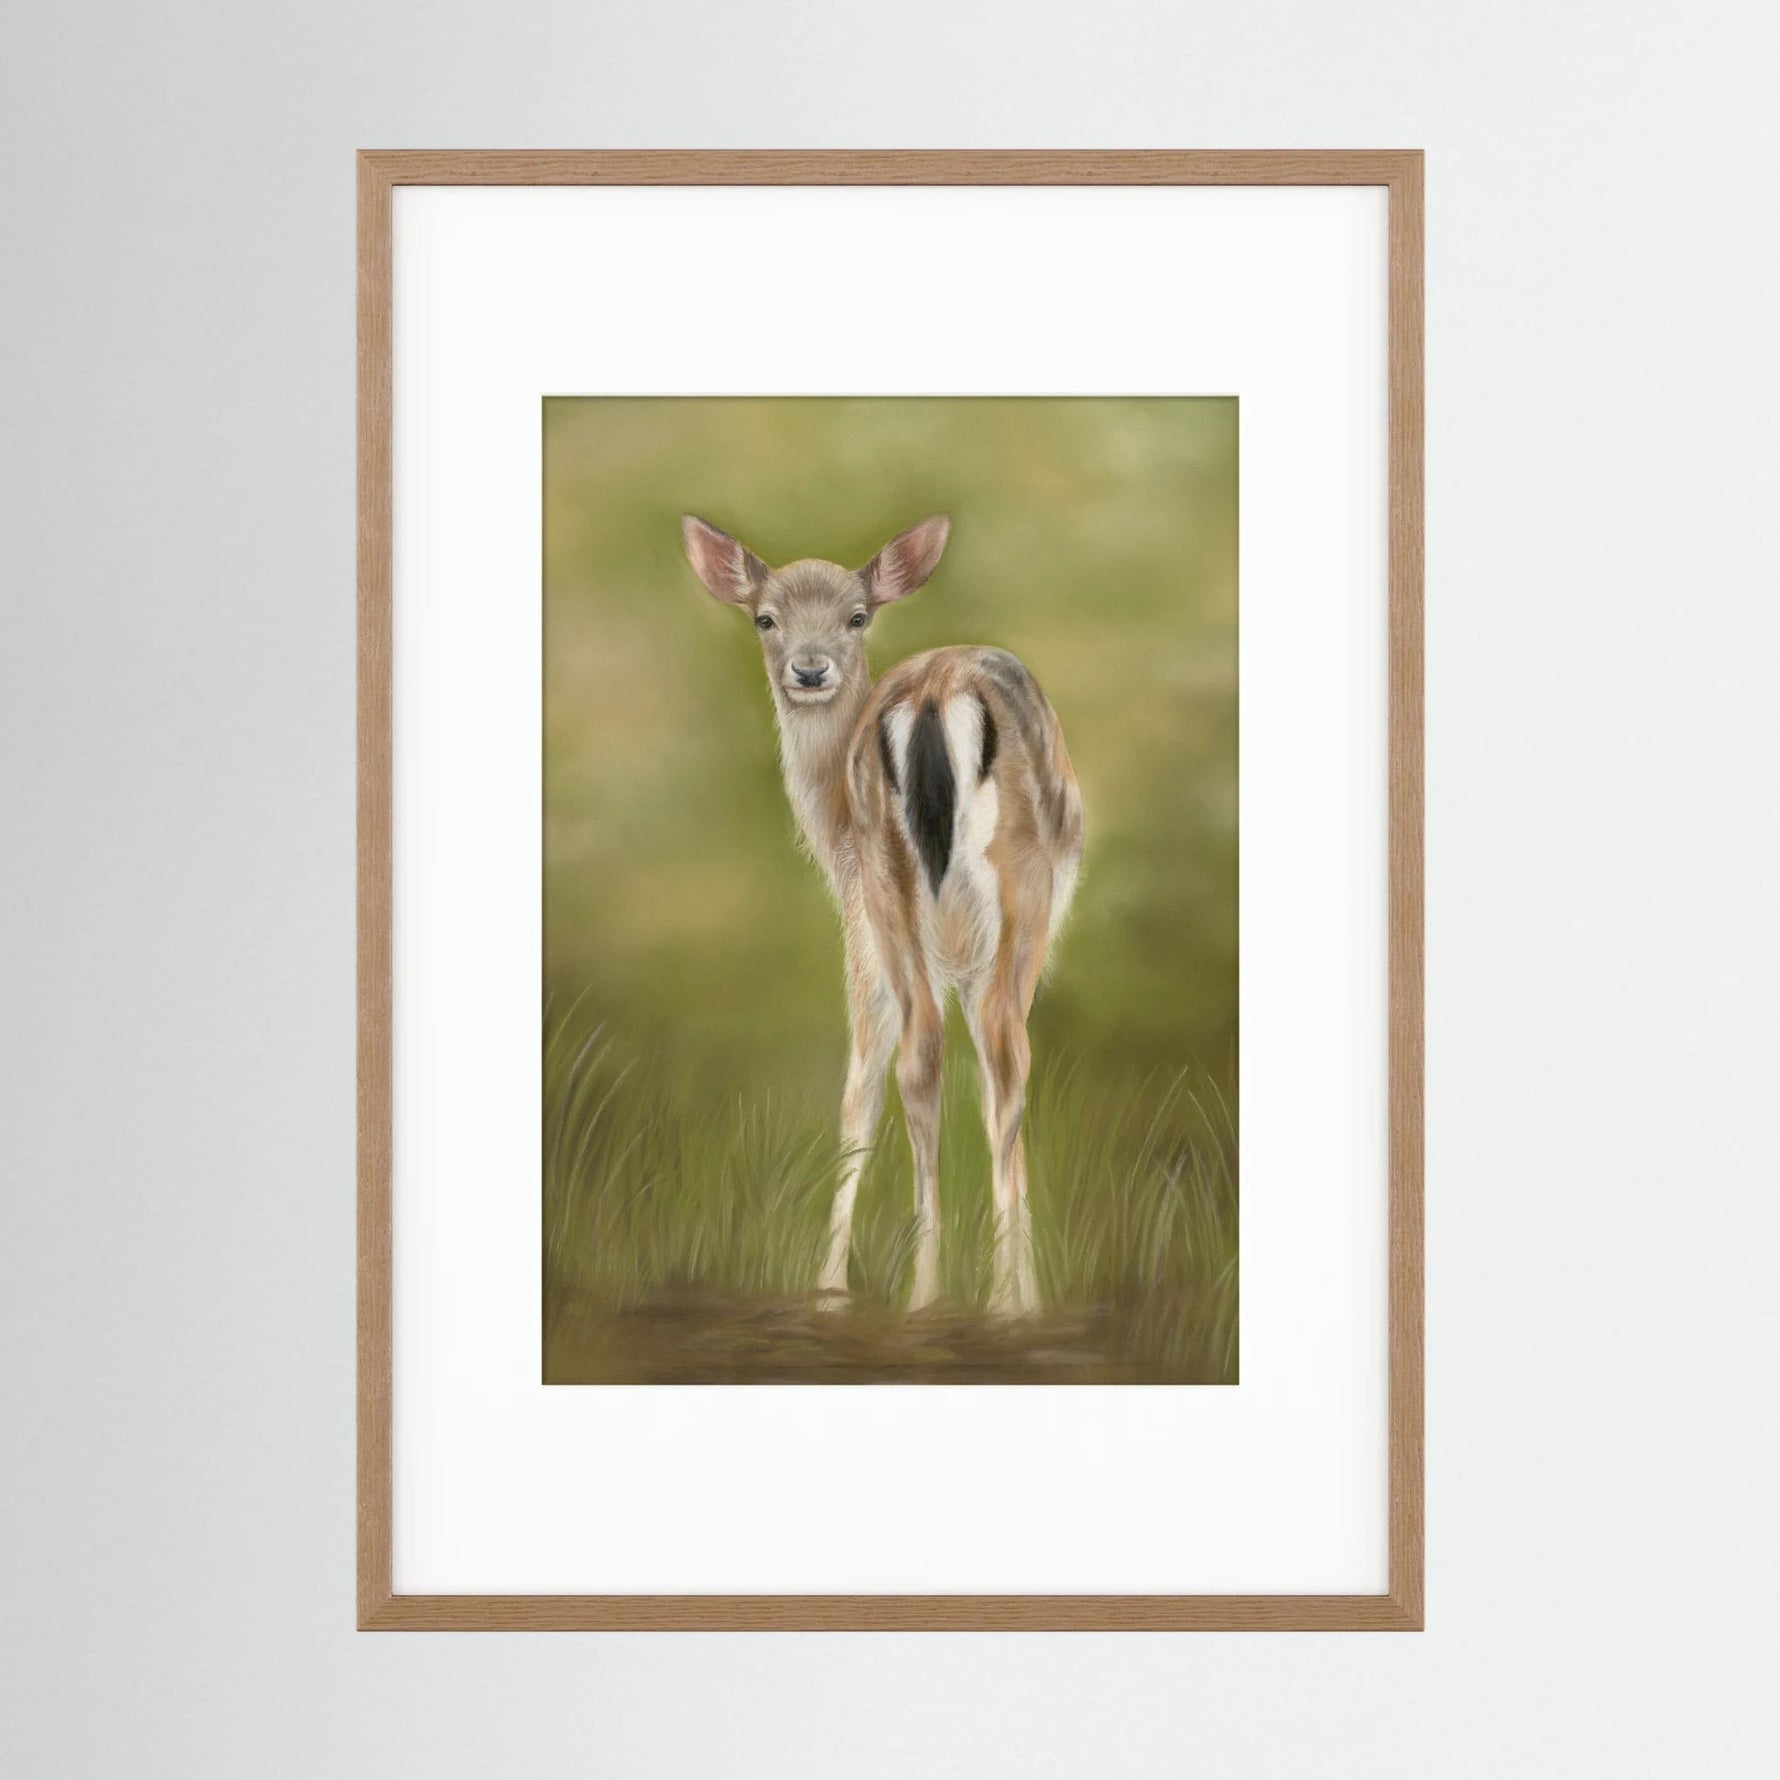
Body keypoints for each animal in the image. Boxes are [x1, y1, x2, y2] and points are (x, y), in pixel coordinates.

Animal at [681, 514, 1084, 1315]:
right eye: (764, 617)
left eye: (856, 616)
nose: (809, 671)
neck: (829, 832)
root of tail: (933, 696)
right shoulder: (878, 937)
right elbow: (876, 1088)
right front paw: (833, 1286)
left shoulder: (878, 929)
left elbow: (870, 1085)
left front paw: (830, 1288)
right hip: (1000, 894)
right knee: (992, 1055)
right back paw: (982, 1302)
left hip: (899, 886)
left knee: (936, 1054)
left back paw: (936, 1294)